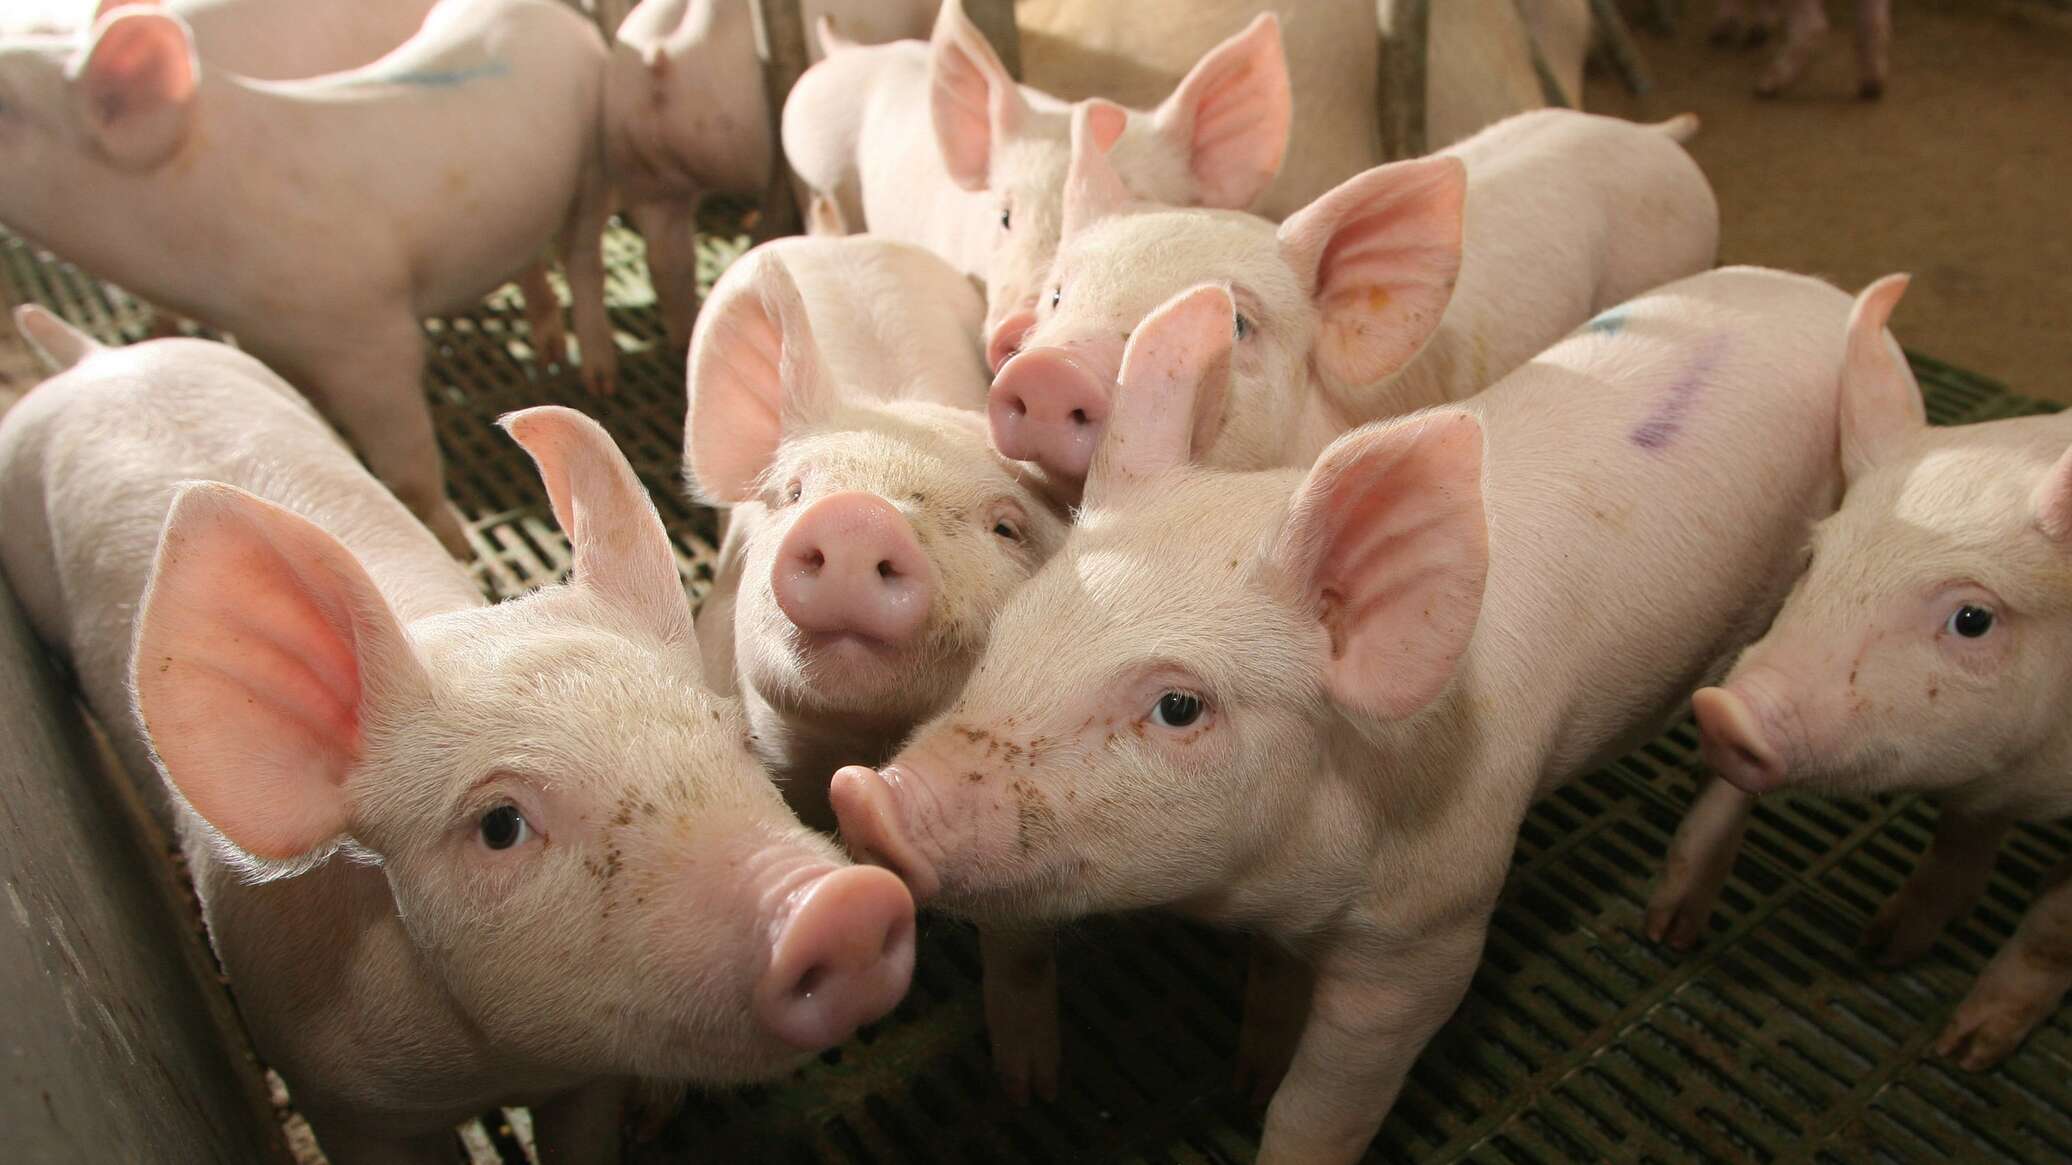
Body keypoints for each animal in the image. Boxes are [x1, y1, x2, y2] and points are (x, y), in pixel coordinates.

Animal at [0, 0, 619, 555]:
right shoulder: (269, 334)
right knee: (528, 262)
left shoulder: (369, 335)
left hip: (592, 157)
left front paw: (458, 547)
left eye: (7, 103)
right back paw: (546, 353)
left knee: (581, 257)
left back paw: (594, 378)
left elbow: (409, 470)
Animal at [0, 307, 916, 1164]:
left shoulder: (584, 1078)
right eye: (499, 824)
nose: (842, 902)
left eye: (734, 741)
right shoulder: (338, 1097)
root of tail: (93, 356)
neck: (482, 1071)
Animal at [833, 265, 1872, 1159]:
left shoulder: (1433, 931)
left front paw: (1271, 1102)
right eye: (1014, 630)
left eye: (1179, 705)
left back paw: (1671, 926)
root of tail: (1815, 290)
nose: (866, 798)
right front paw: (1226, 1075)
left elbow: (1320, 1110)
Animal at [1648, 275, 2072, 1071]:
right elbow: (1957, 842)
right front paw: (1882, 946)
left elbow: (2049, 929)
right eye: (1815, 557)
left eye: (1974, 618)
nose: (1724, 711)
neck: (2026, 776)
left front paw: (1963, 1052)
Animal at [1710, 0, 1893, 99]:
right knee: (1874, 21)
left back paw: (1770, 82)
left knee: (1812, 25)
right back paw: (1872, 84)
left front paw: (1727, 26)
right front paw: (1759, 27)